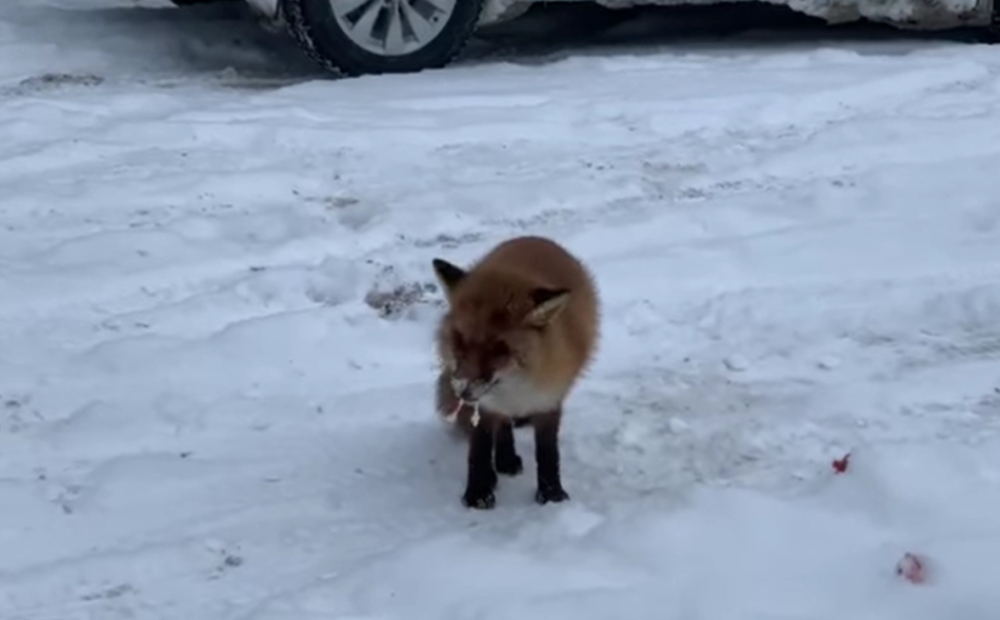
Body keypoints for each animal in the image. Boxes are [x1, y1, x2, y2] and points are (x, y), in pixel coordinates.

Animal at [430, 235, 599, 510]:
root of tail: (535, 239)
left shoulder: (549, 397)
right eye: (459, 339)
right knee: (502, 427)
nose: (461, 390)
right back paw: (504, 463)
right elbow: (479, 447)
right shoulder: (485, 404)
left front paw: (551, 495)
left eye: (499, 349)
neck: (515, 387)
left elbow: (548, 451)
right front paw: (478, 492)